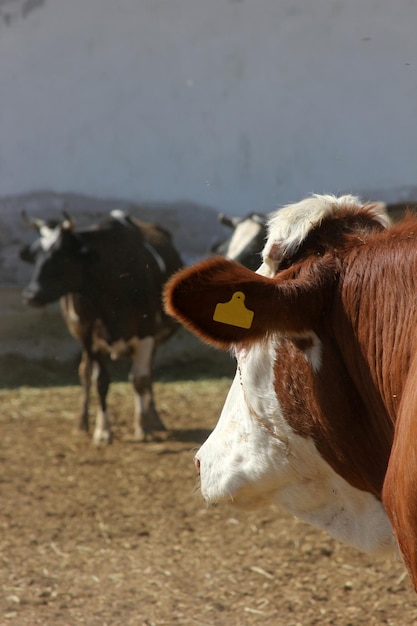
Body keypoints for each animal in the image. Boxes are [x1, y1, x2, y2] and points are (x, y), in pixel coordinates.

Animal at [21, 210, 182, 444]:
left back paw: (154, 418)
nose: (30, 295)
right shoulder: (91, 337)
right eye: (34, 256)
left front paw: (143, 426)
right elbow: (100, 381)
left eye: (60, 254)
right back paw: (82, 423)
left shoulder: (146, 334)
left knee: (147, 373)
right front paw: (103, 430)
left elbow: (140, 380)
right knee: (85, 373)